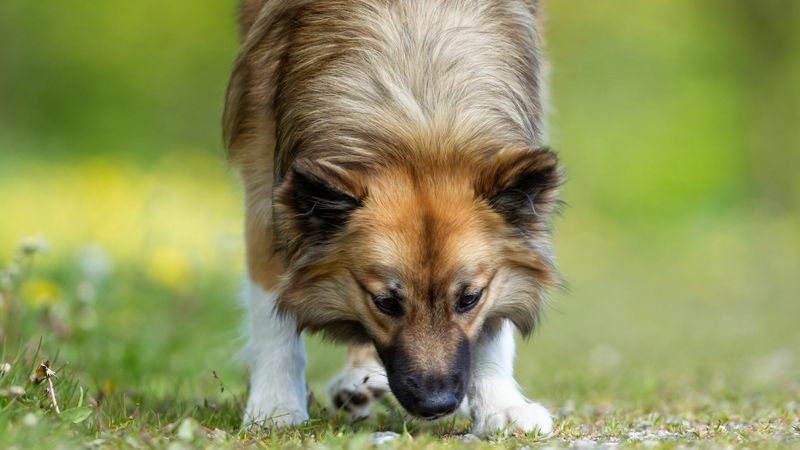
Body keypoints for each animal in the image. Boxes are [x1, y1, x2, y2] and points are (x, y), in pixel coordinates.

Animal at [223, 0, 564, 436]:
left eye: (469, 299)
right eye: (384, 302)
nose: (437, 404)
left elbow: (495, 318)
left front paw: (500, 406)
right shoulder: (268, 177)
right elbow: (273, 306)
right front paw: (275, 405)